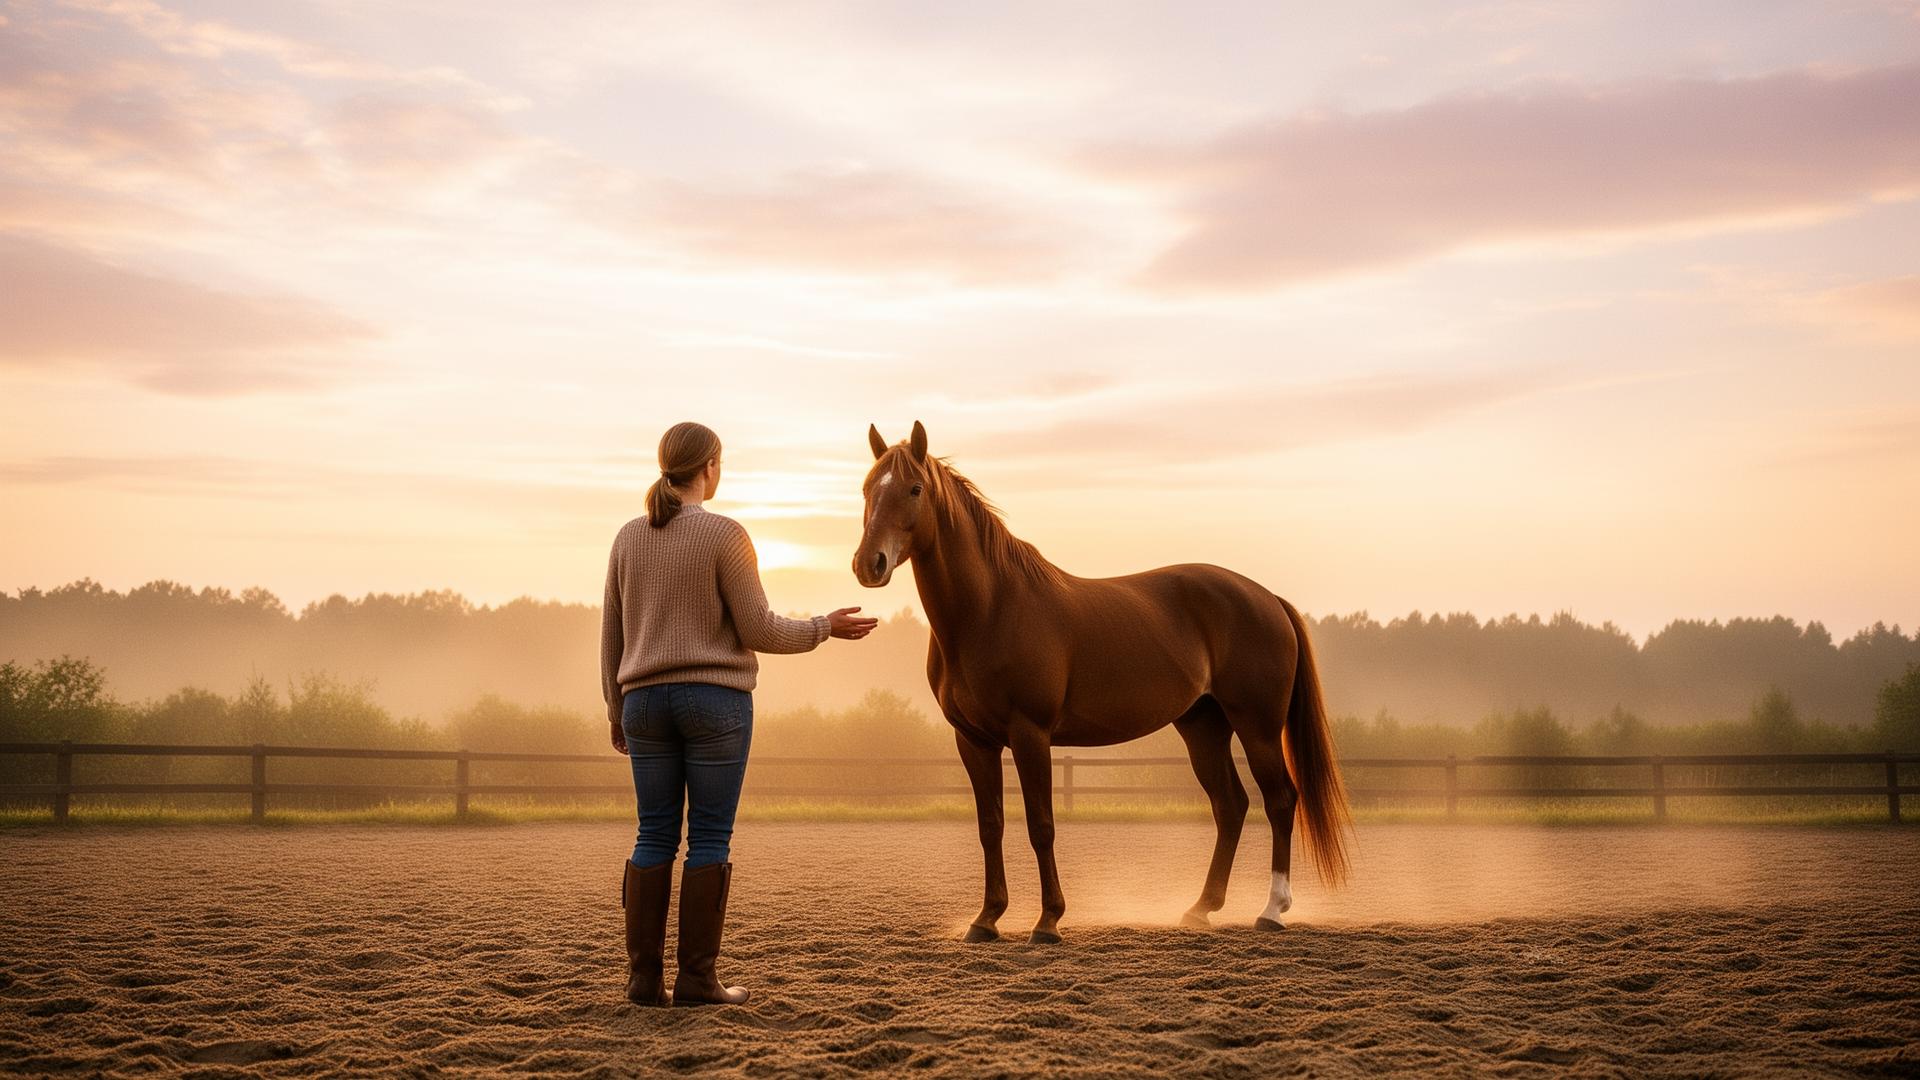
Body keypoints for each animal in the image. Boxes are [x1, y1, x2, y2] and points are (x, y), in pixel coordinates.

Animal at [852, 421, 1352, 944]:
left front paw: (1048, 921)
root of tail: (1267, 597)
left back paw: (1271, 910)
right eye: (867, 489)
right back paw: (1201, 908)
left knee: (1279, 801)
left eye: (914, 488)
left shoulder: (1030, 735)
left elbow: (1041, 825)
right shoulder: (972, 740)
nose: (870, 563)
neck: (991, 610)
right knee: (1230, 806)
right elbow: (991, 826)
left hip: (1257, 727)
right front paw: (986, 918)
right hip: (1202, 726)